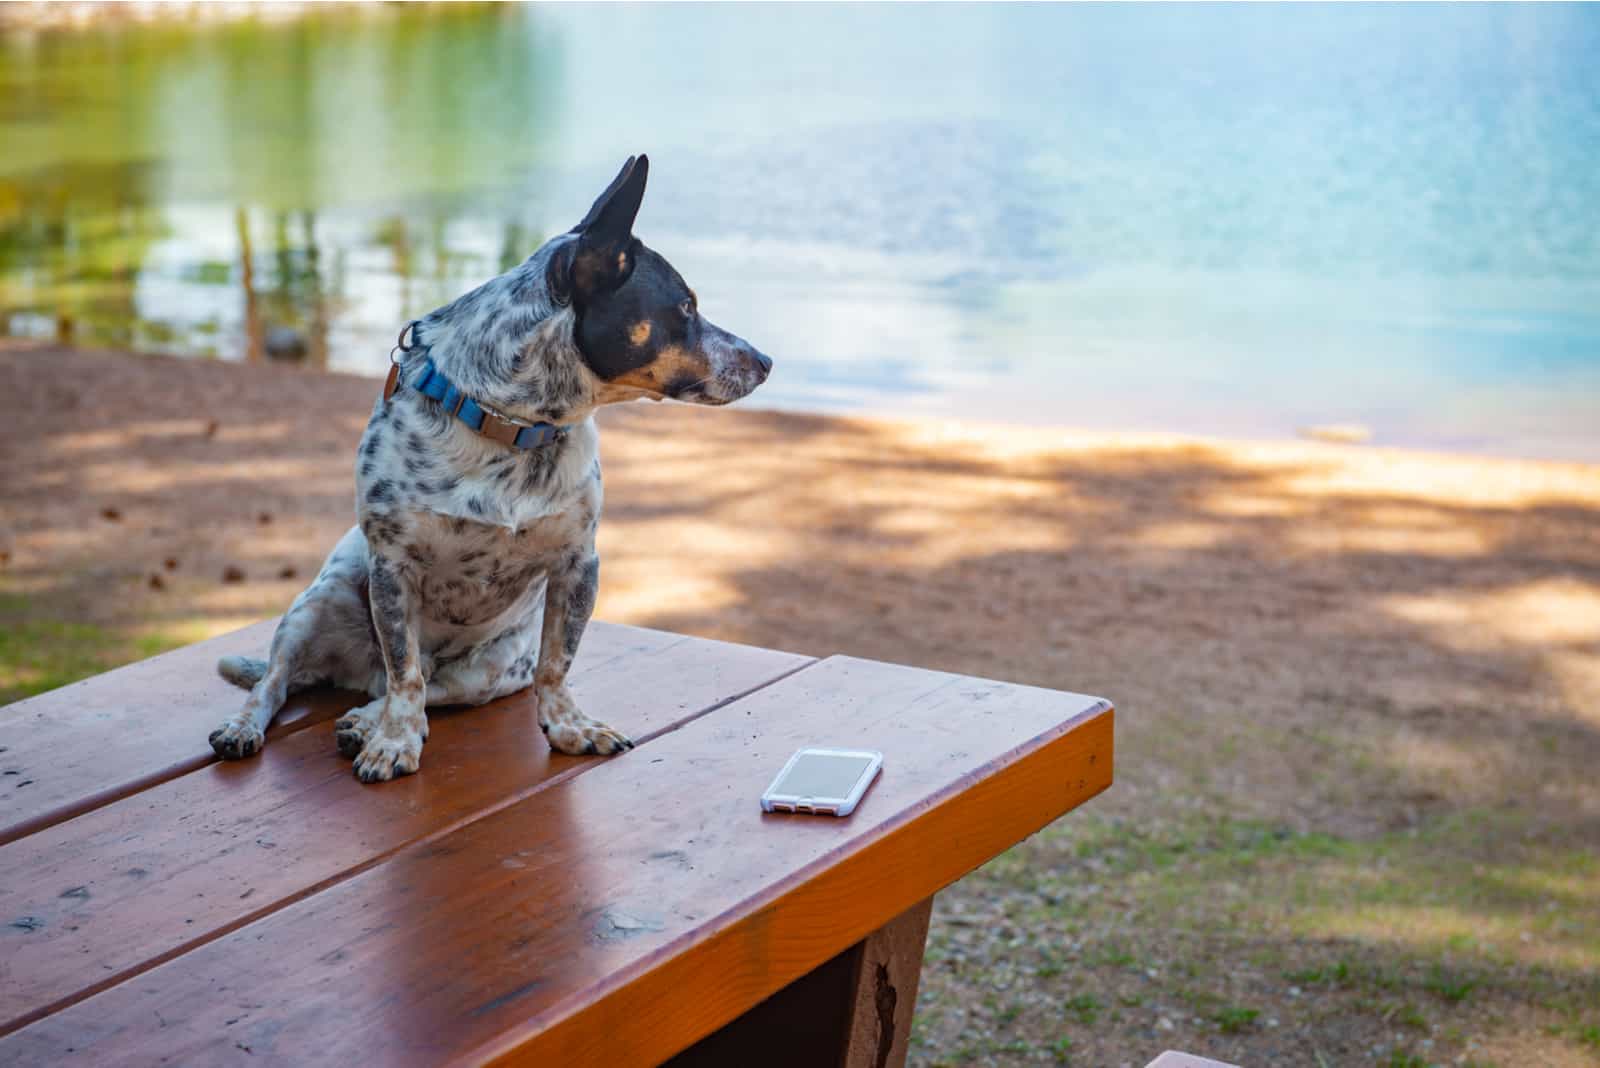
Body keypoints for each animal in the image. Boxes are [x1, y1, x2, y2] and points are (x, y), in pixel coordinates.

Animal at [204, 154, 774, 780]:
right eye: (686, 307)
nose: (767, 360)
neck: (515, 428)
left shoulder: (578, 566)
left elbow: (554, 666)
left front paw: (569, 727)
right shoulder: (392, 570)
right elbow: (405, 670)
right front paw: (395, 743)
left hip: (490, 671)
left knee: (429, 687)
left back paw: (360, 719)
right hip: (318, 604)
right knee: (286, 682)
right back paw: (253, 726)